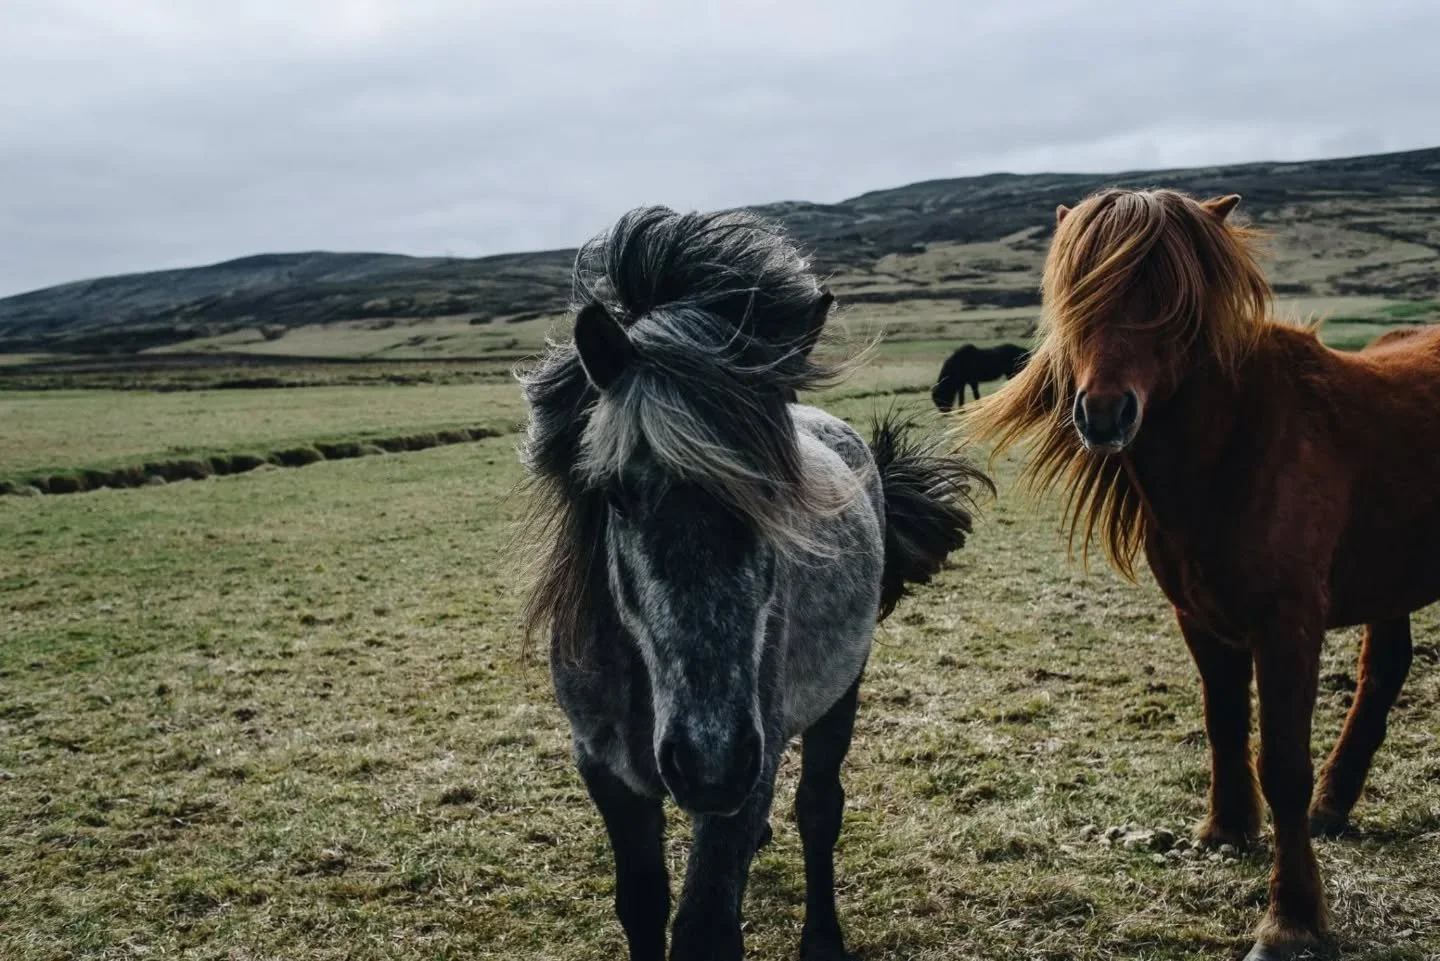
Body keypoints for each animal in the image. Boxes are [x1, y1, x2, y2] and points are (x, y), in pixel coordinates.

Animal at [517, 206, 989, 961]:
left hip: (839, 692)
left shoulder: (749, 769)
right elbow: (640, 904)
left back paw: (822, 938)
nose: (709, 762)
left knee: (820, 809)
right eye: (615, 494)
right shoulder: (606, 772)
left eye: (778, 496)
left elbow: (706, 927)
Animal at [962, 188, 1440, 961]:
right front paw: (1226, 827)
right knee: (1385, 668)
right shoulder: (1201, 619)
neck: (1240, 448)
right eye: (1077, 293)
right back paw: (1334, 804)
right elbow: (1223, 724)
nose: (1104, 413)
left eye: (1171, 303)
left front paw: (1291, 917)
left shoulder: (1287, 626)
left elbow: (1282, 762)